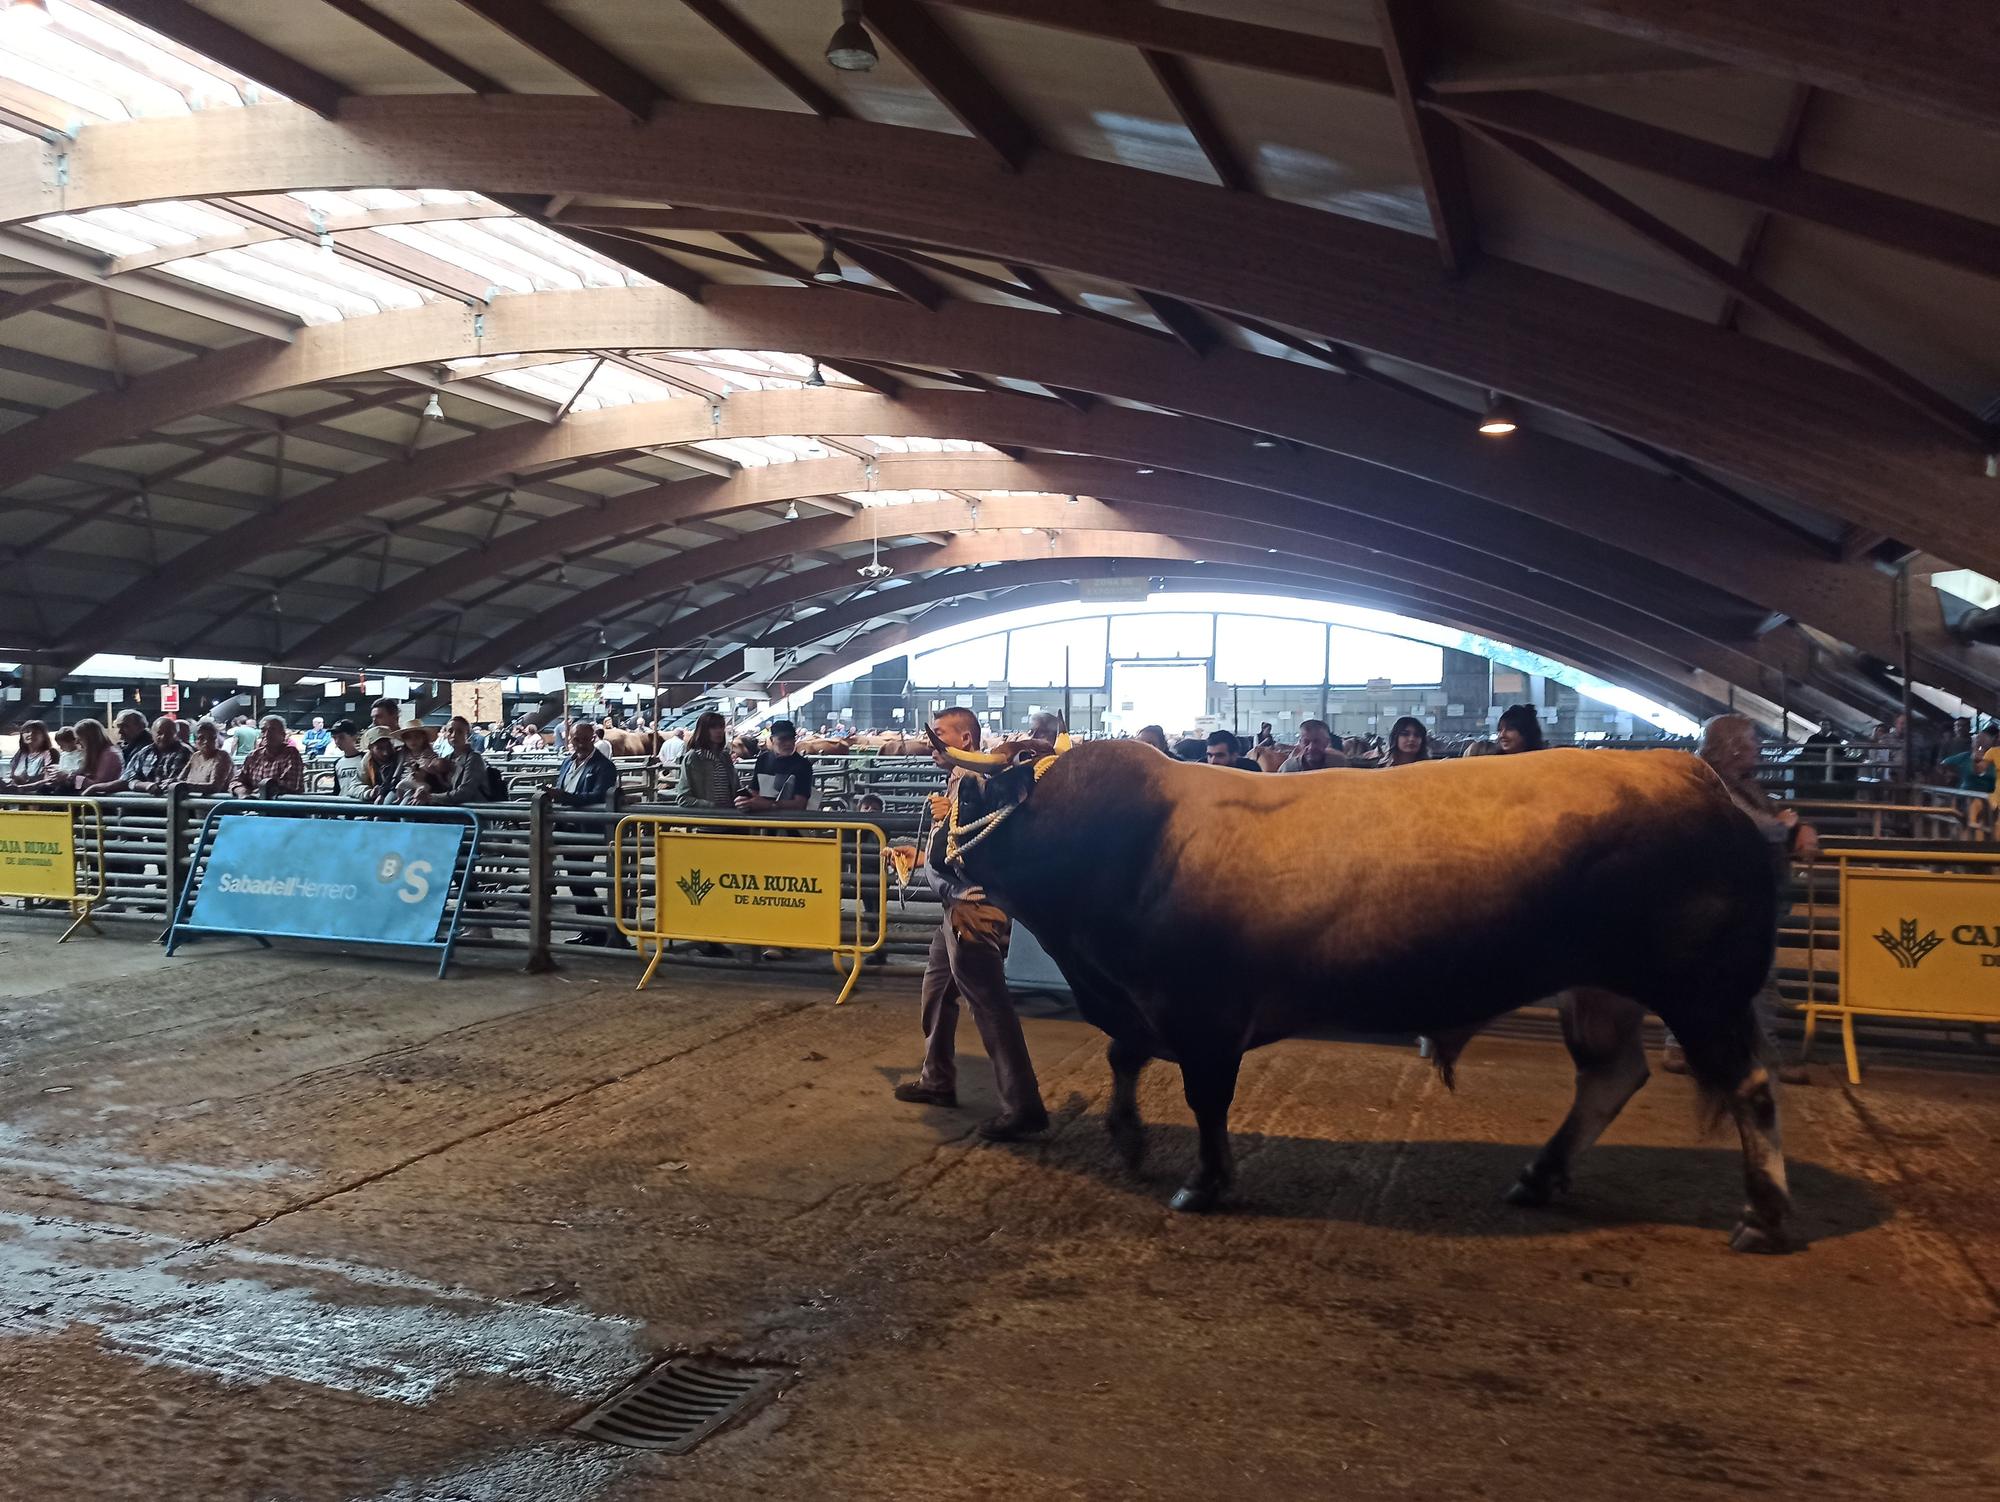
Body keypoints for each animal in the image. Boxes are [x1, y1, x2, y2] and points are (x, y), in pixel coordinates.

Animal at [928, 740, 1792, 1256]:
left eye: (969, 796)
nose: (933, 848)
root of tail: (1698, 778)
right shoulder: (1141, 1002)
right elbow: (1122, 1055)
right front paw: (1130, 1136)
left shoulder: (1203, 1012)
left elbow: (1205, 1098)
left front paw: (1203, 1182)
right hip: (1601, 987)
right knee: (1611, 1076)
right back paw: (1540, 1177)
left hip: (1703, 993)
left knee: (1748, 1088)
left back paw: (1764, 1214)